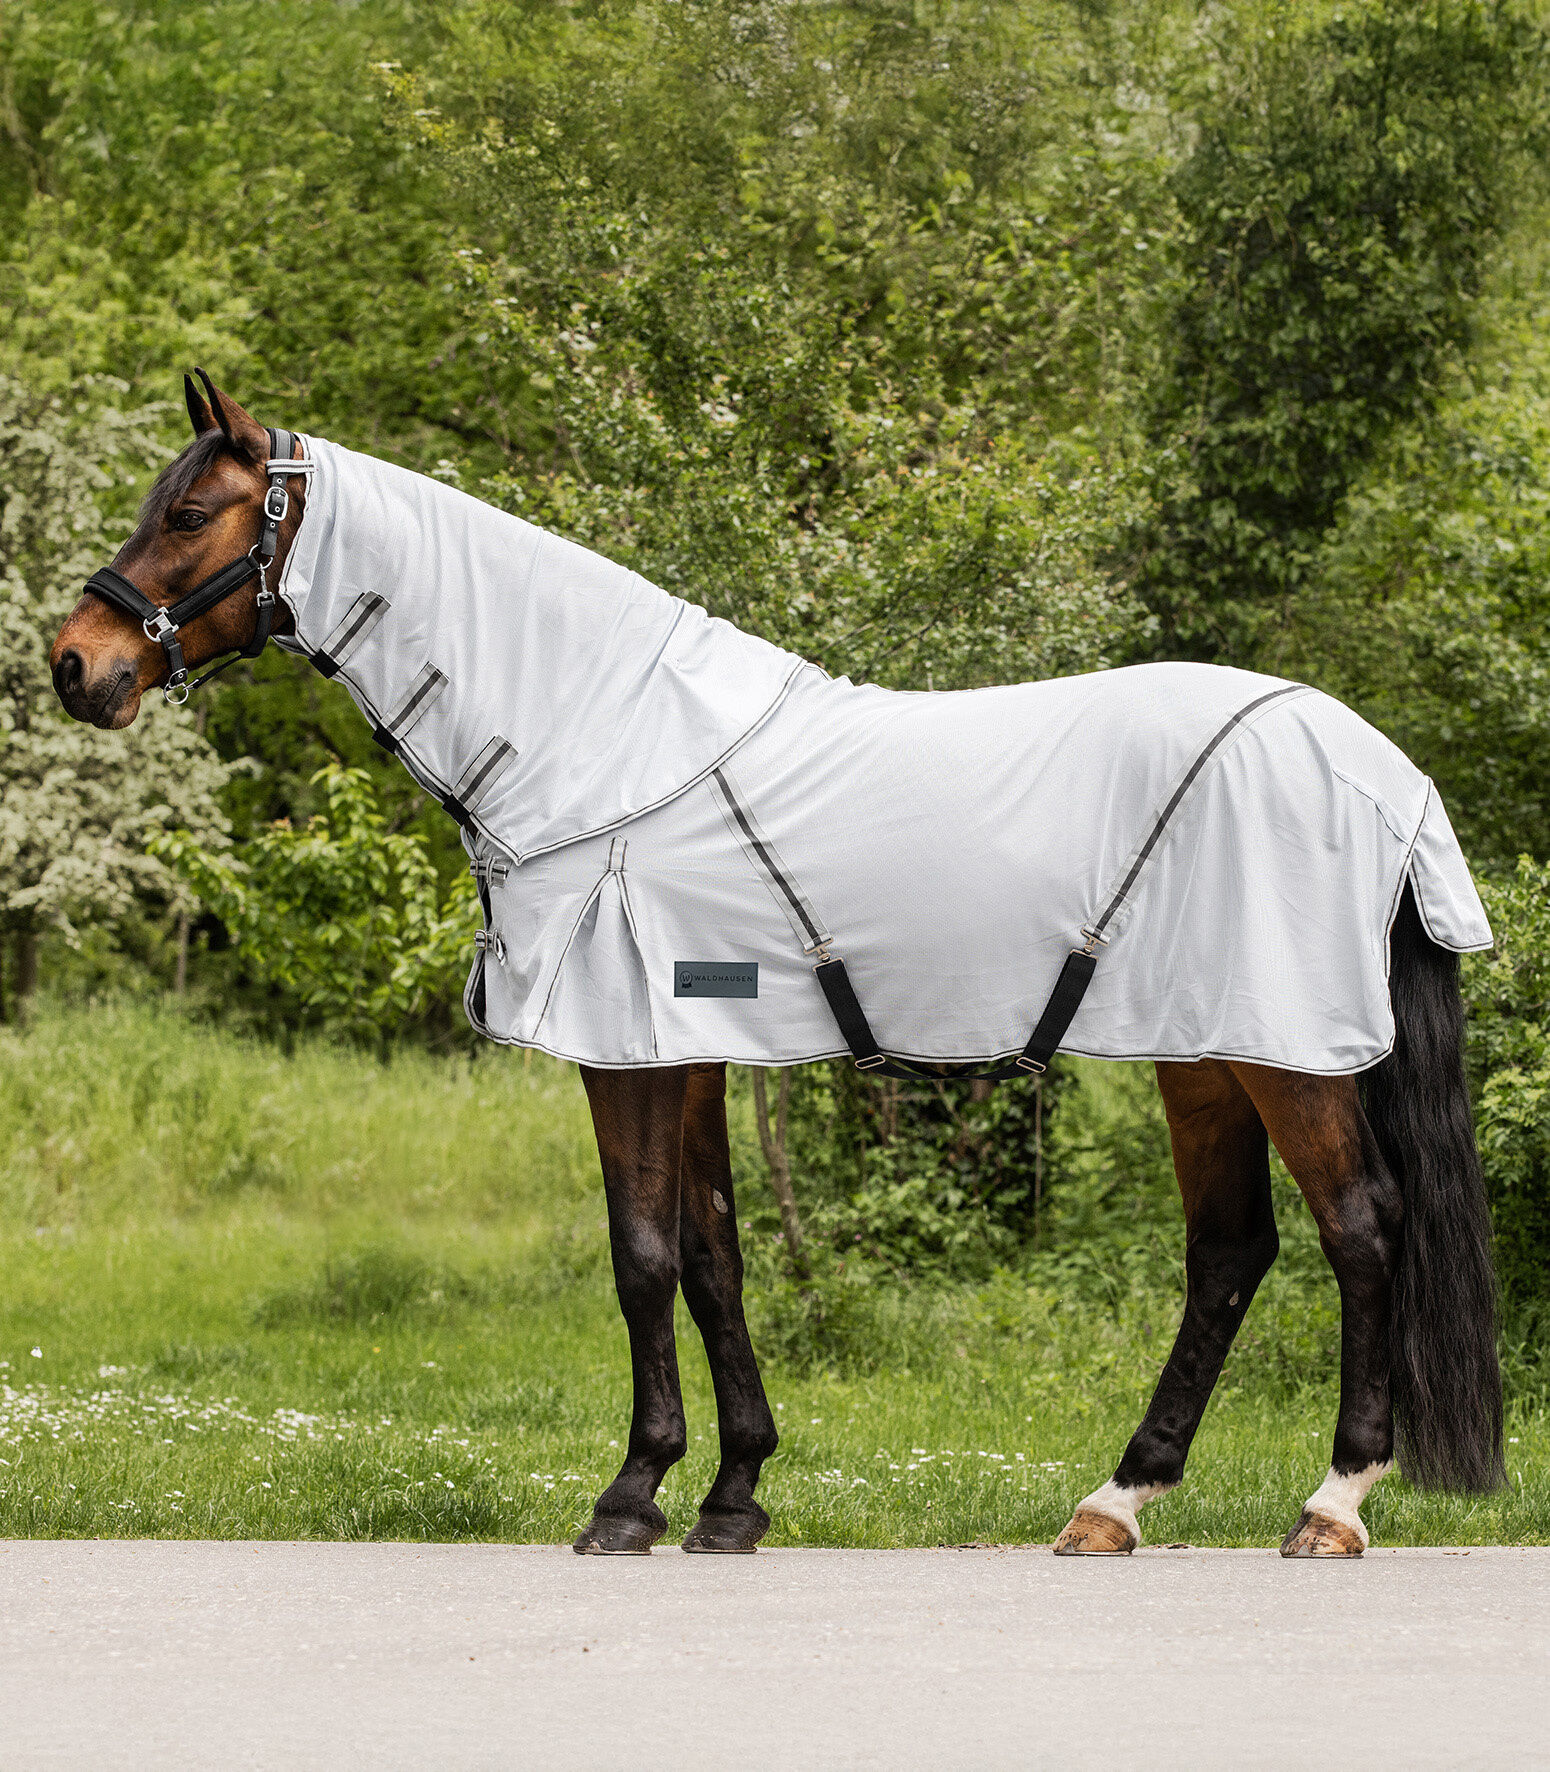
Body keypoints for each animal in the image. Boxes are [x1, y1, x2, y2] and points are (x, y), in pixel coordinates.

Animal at [49, 373, 1505, 1558]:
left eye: (191, 513)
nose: (77, 665)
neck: (606, 740)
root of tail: (1379, 770)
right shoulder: (686, 1049)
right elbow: (713, 1257)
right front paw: (733, 1494)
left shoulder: (627, 1052)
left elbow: (642, 1254)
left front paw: (630, 1497)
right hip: (1203, 1047)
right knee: (1229, 1249)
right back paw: (1115, 1501)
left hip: (1283, 1052)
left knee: (1360, 1227)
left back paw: (1331, 1504)